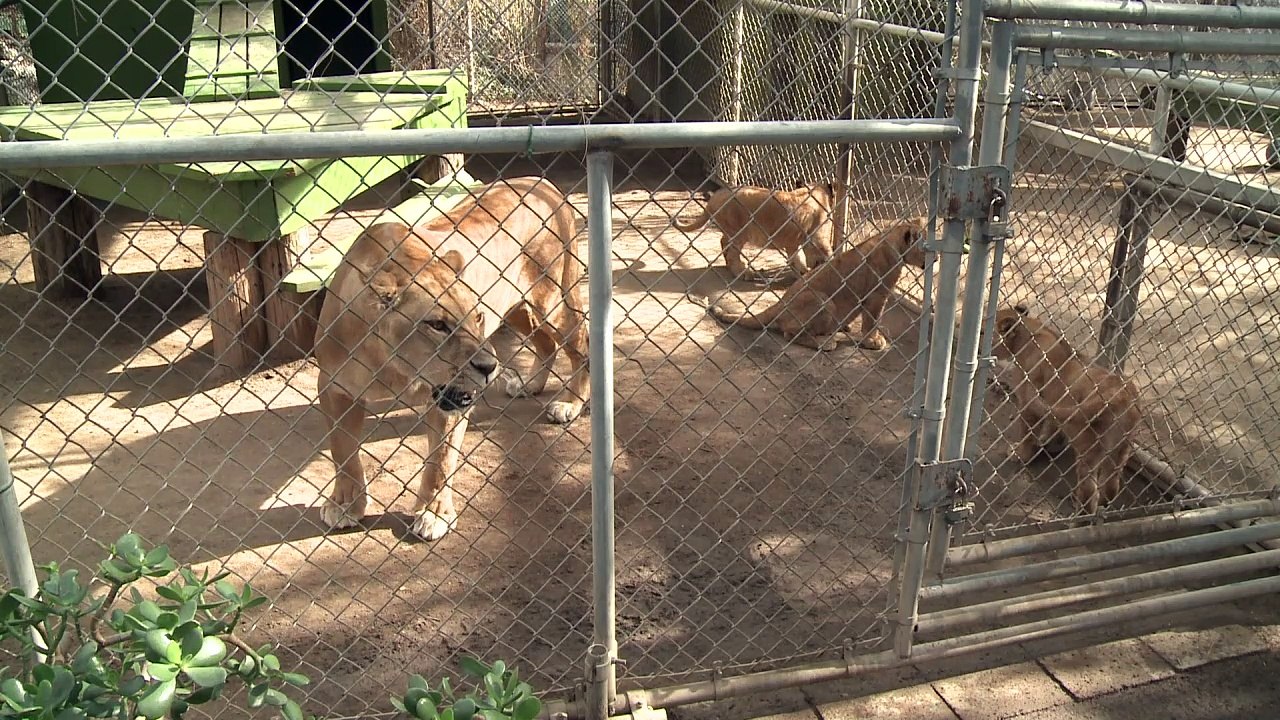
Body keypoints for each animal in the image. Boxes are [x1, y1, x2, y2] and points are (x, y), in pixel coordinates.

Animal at [313, 176, 590, 541]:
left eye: (478, 317)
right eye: (437, 325)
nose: (488, 367)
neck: (391, 365)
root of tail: (539, 181)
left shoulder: (452, 398)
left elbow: (441, 460)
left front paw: (434, 515)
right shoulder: (333, 386)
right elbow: (342, 448)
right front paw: (345, 503)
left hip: (554, 301)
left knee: (582, 342)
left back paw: (571, 404)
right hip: (517, 306)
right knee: (543, 341)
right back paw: (529, 384)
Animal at [674, 182, 834, 280]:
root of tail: (713, 198)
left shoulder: (793, 242)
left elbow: (796, 257)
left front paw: (802, 273)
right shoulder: (819, 238)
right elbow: (825, 253)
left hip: (731, 232)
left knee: (723, 242)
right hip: (738, 233)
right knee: (732, 253)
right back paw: (743, 273)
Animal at [706, 216, 929, 351]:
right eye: (926, 248)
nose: (935, 259)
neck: (894, 240)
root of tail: (780, 304)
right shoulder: (877, 295)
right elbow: (872, 320)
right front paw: (873, 340)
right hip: (824, 301)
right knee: (790, 333)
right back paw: (826, 342)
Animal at [991, 305, 1142, 514]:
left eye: (983, 332)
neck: (1030, 334)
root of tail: (1120, 397)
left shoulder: (1028, 403)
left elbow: (1027, 433)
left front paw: (1020, 455)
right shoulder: (1054, 403)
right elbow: (1052, 427)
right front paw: (1048, 444)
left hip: (1089, 449)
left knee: (1089, 491)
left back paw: (1080, 514)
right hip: (1122, 448)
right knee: (1112, 485)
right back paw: (1103, 508)